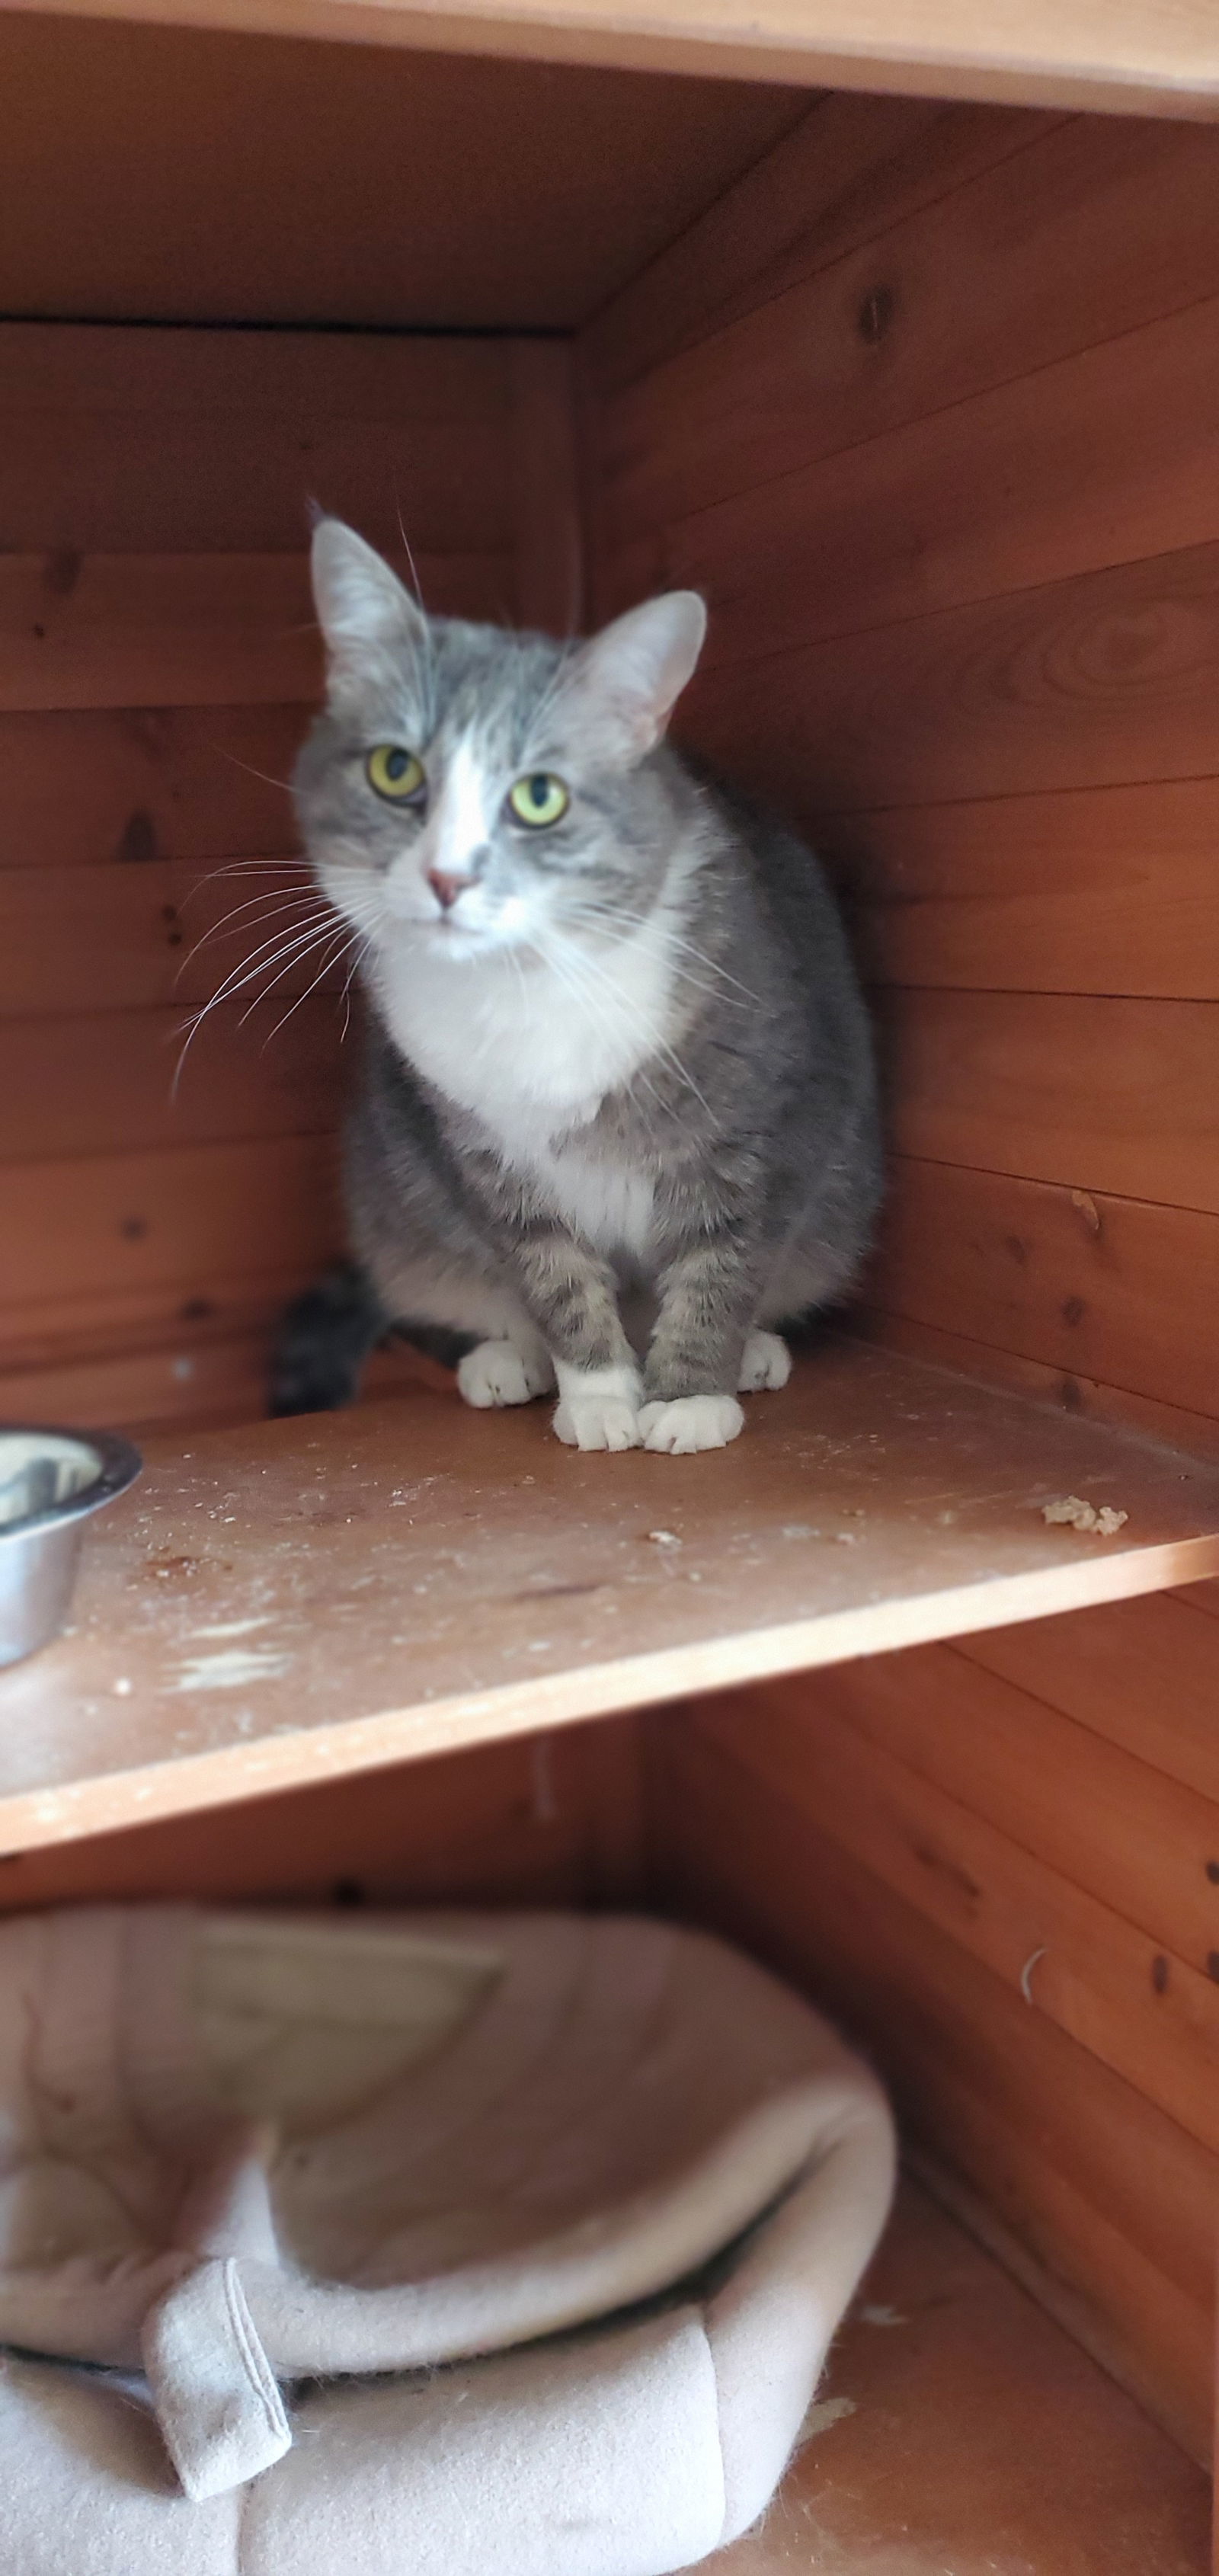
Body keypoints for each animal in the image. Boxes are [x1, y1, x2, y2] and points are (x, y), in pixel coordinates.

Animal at [267, 520, 876, 1452]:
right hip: (405, 1211)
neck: (527, 983)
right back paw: (503, 1359)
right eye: (396, 771)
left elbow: (721, 1265)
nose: (447, 878)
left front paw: (689, 1399)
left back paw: (755, 1353)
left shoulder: (747, 1138)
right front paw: (597, 1396)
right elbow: (552, 1276)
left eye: (540, 797)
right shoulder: (486, 1160)